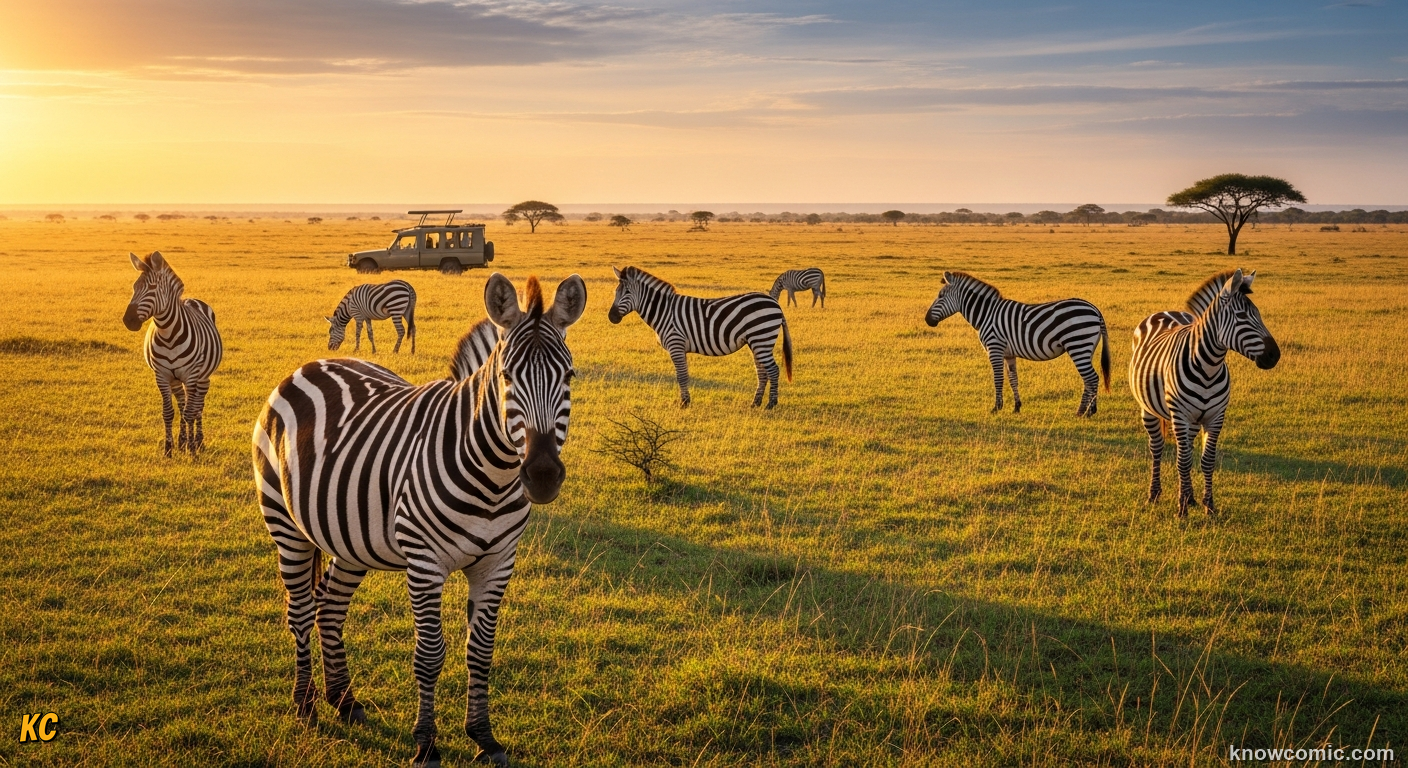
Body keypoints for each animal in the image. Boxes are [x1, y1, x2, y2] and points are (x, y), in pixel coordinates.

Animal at [122, 251, 223, 456]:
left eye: (152, 288)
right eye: (134, 287)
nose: (128, 320)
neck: (169, 336)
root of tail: (191, 299)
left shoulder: (191, 376)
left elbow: (190, 413)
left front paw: (192, 450)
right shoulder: (161, 375)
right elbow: (169, 412)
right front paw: (169, 449)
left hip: (203, 378)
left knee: (198, 407)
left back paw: (198, 442)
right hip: (176, 380)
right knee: (183, 403)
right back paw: (182, 442)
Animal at [254, 274, 586, 767]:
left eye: (568, 377)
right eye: (506, 377)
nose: (543, 475)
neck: (492, 476)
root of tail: (313, 363)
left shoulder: (497, 563)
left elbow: (481, 651)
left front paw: (484, 737)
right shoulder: (425, 563)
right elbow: (430, 654)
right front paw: (427, 743)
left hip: (350, 538)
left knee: (329, 607)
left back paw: (344, 701)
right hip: (286, 524)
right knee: (299, 611)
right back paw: (306, 705)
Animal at [608, 265, 793, 408]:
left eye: (627, 292)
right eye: (615, 292)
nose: (611, 317)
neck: (664, 311)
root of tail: (775, 304)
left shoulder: (676, 344)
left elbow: (681, 375)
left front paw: (684, 403)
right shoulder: (680, 348)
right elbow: (683, 375)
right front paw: (685, 401)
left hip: (762, 339)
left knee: (773, 370)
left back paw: (771, 404)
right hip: (756, 342)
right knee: (762, 371)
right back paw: (755, 403)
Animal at [925, 271, 1110, 416]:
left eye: (940, 296)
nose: (927, 320)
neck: (986, 314)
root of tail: (1095, 309)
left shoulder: (995, 348)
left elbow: (998, 378)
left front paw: (996, 408)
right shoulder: (1009, 354)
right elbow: (1013, 379)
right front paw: (1017, 407)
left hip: (1078, 345)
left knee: (1091, 377)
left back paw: (1083, 412)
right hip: (1087, 348)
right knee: (1091, 379)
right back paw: (1090, 410)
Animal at [1129, 269, 1280, 517]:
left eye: (1258, 314)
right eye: (1241, 316)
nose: (1274, 355)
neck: (1209, 367)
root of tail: (1164, 312)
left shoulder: (1215, 417)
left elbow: (1206, 461)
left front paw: (1208, 505)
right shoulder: (1180, 415)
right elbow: (1182, 461)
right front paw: (1181, 508)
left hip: (1192, 420)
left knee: (1187, 449)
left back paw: (1189, 496)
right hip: (1149, 409)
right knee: (1157, 448)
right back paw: (1155, 494)